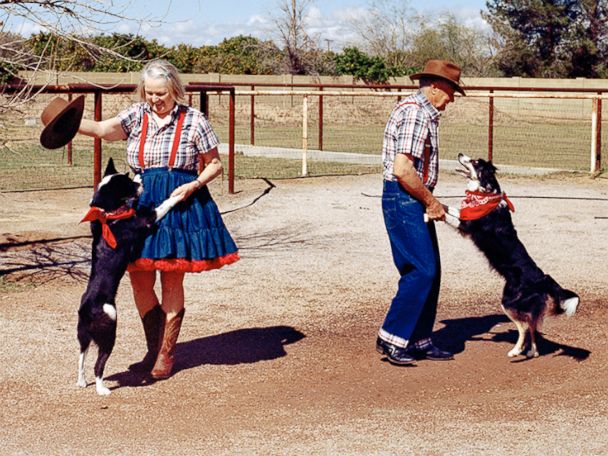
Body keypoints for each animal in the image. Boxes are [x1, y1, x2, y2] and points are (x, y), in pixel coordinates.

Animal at [77, 159, 179, 394]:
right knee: (98, 365)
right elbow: (164, 205)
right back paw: (102, 390)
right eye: (129, 185)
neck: (109, 215)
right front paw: (177, 195)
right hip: (108, 334)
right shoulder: (146, 218)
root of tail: (87, 310)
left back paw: (81, 382)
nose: (140, 182)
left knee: (81, 359)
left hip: (83, 337)